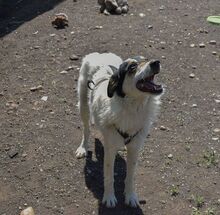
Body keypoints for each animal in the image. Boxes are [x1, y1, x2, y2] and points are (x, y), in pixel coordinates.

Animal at [75, 52, 163, 208]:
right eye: (132, 67)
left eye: (147, 59)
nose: (156, 62)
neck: (133, 108)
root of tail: (98, 54)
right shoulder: (109, 150)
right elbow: (109, 177)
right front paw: (109, 197)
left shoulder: (135, 148)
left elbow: (131, 177)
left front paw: (131, 196)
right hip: (83, 105)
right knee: (86, 128)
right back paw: (83, 148)